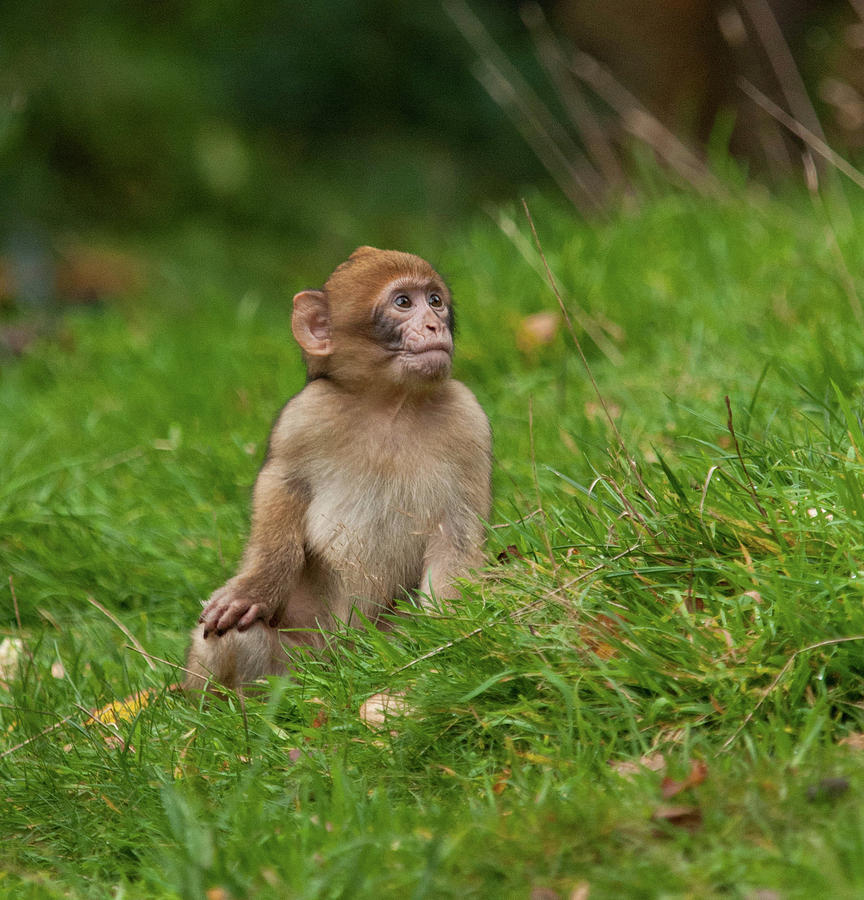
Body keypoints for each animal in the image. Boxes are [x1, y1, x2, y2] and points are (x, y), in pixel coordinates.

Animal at [185, 244, 490, 688]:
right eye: (403, 303)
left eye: (435, 301)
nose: (435, 325)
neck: (390, 405)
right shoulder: (304, 416)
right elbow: (282, 486)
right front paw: (258, 586)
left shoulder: (469, 422)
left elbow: (457, 533)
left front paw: (450, 634)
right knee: (232, 637)